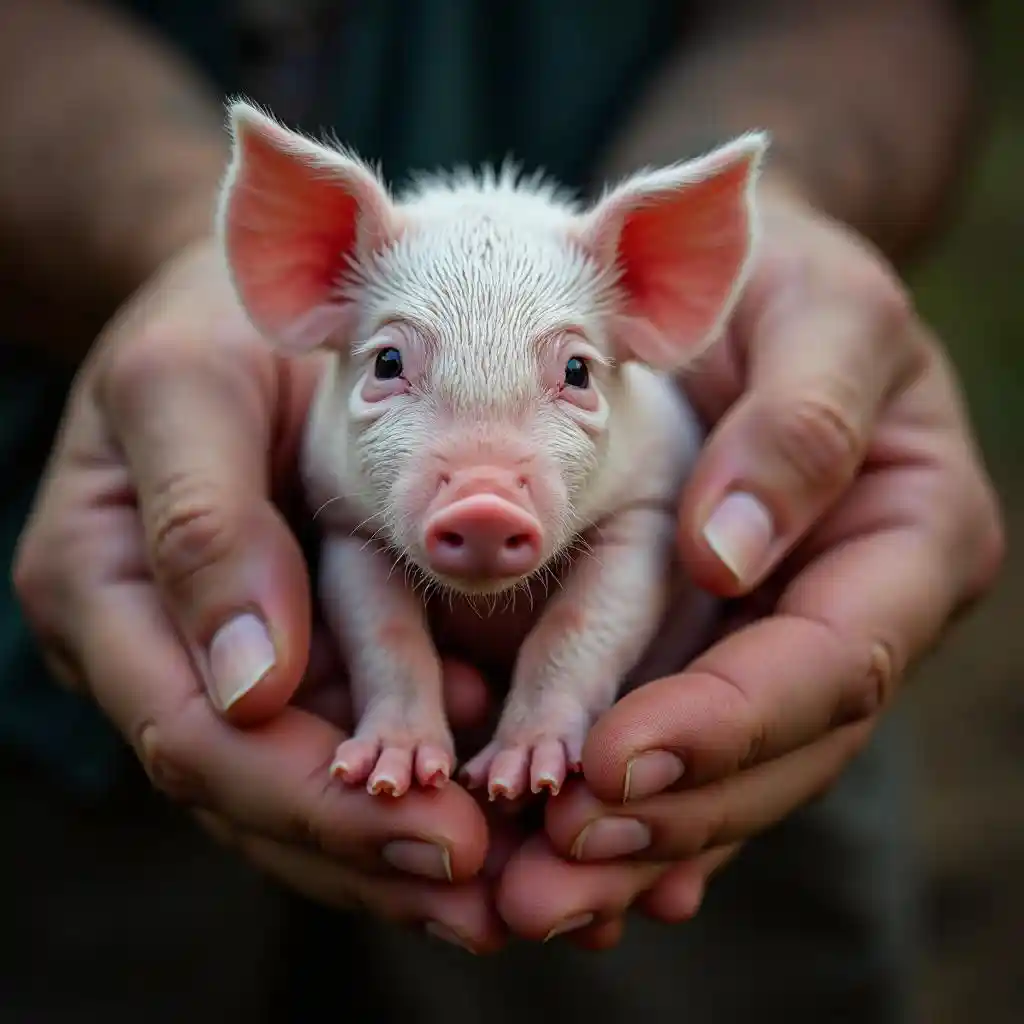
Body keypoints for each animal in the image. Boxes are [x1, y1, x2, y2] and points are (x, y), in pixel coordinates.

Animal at [215, 98, 767, 801]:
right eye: (388, 362)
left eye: (579, 371)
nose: (484, 502)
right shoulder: (346, 525)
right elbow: (384, 633)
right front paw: (389, 780)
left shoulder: (650, 510)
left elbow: (582, 625)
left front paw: (519, 781)